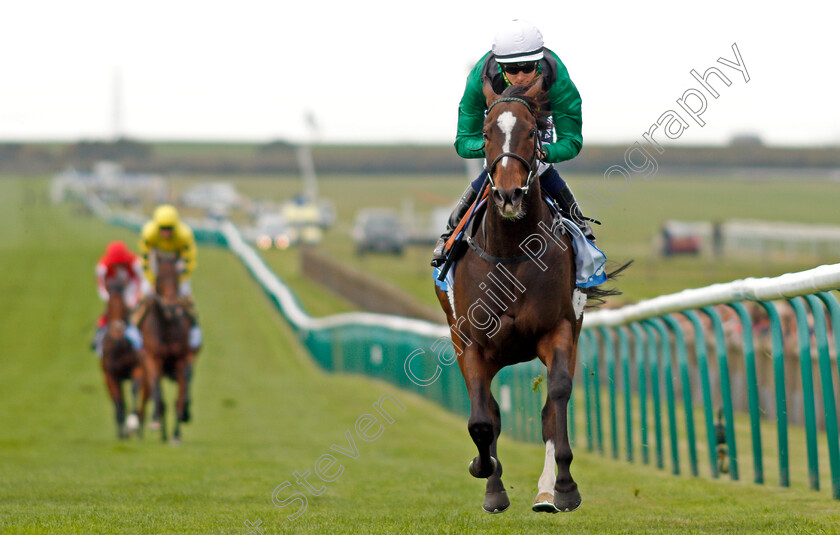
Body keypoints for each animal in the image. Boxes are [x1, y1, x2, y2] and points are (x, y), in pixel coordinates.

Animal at [100, 276, 148, 440]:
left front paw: (132, 424)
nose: (117, 332)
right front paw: (121, 433)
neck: (119, 347)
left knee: (143, 401)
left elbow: (135, 390)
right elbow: (119, 402)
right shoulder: (110, 374)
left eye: (124, 307)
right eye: (109, 305)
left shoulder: (138, 368)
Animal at [139, 251, 195, 444]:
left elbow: (180, 398)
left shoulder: (182, 360)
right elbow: (160, 398)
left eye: (177, 276)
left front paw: (176, 435)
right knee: (150, 393)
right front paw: (160, 428)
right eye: (160, 277)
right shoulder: (153, 359)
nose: (171, 304)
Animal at [436, 79, 620, 516]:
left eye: (533, 132)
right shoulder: (471, 344)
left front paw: (564, 488)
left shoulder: (559, 329)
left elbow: (556, 398)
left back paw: (546, 492)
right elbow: (482, 420)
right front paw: (484, 473)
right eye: (486, 134)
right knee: (490, 412)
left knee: (548, 408)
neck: (511, 252)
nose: (508, 195)